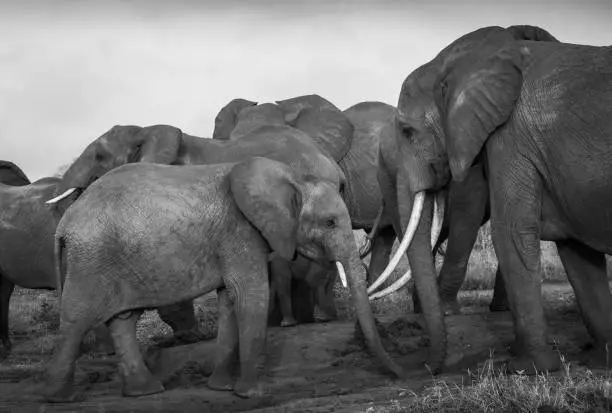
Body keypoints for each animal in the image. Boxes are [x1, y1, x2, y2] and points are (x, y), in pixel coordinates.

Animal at [44, 156, 406, 400]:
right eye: (330, 222)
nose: (399, 378)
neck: (292, 177)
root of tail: (65, 222)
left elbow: (231, 301)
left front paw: (222, 387)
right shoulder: (239, 232)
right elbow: (251, 295)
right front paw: (252, 394)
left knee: (122, 320)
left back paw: (145, 392)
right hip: (91, 259)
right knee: (76, 318)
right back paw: (61, 397)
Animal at [372, 24, 612, 374]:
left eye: (407, 131)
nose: (418, 369)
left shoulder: (510, 138)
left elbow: (509, 232)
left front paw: (529, 368)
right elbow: (576, 253)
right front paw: (600, 360)